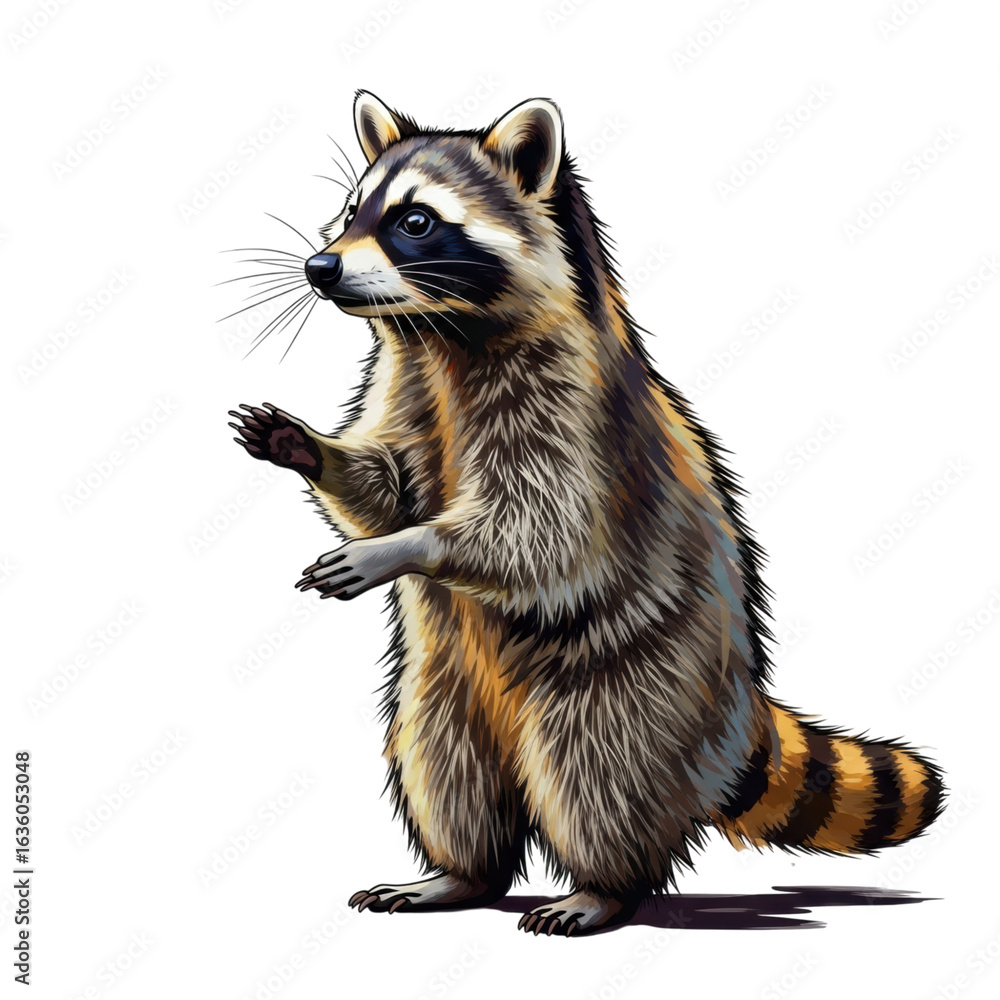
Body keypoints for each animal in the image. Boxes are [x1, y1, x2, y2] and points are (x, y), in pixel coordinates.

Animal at [229, 92, 945, 936]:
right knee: (444, 766)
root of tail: (739, 708)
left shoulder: (576, 419)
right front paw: (313, 450)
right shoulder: (403, 389)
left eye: (415, 222)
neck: (441, 333)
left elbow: (541, 533)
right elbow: (382, 485)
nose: (320, 266)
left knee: (598, 777)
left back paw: (604, 886)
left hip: (635, 681)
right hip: (438, 686)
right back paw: (459, 874)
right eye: (349, 212)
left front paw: (408, 547)